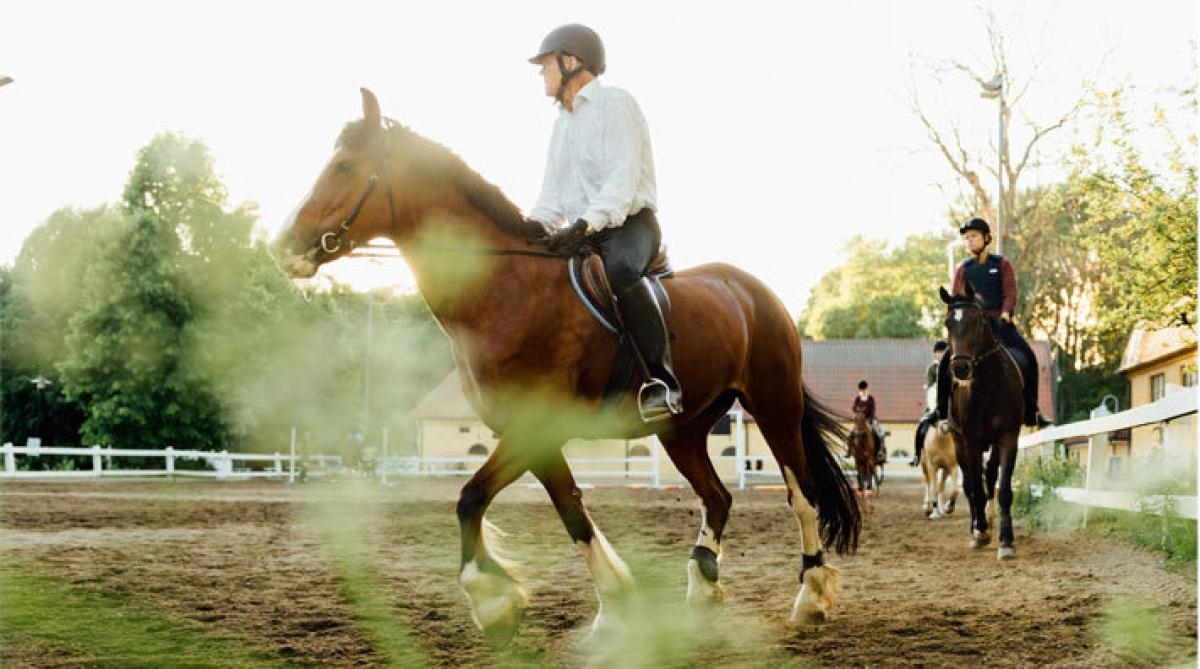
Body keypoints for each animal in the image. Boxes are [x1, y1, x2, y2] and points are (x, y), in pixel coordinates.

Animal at [271, 89, 859, 647]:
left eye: (345, 166)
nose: (282, 248)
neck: (505, 291)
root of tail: (755, 291)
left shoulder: (532, 427)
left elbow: (472, 499)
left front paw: (495, 605)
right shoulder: (531, 434)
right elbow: (569, 509)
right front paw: (613, 605)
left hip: (773, 405)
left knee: (800, 494)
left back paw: (810, 596)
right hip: (683, 428)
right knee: (717, 495)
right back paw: (703, 588)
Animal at [936, 284, 1022, 561]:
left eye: (976, 321)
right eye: (948, 323)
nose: (960, 369)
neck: (988, 387)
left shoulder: (1008, 438)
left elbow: (1003, 489)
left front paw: (1006, 541)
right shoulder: (970, 442)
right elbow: (975, 487)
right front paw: (981, 532)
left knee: (990, 476)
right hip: (959, 444)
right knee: (970, 486)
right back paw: (976, 528)